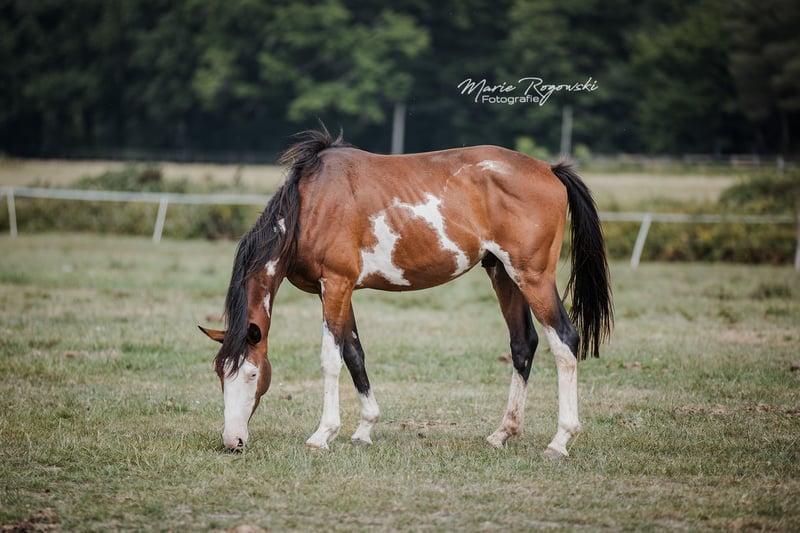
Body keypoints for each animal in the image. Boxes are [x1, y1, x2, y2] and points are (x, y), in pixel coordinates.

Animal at [199, 126, 612, 457]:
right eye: (220, 373)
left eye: (253, 374)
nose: (233, 442)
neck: (311, 204)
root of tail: (550, 170)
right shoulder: (337, 290)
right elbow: (354, 354)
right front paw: (364, 429)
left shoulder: (336, 284)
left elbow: (331, 359)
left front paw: (322, 434)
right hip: (503, 274)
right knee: (523, 344)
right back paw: (502, 433)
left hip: (532, 276)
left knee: (565, 341)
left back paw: (560, 441)